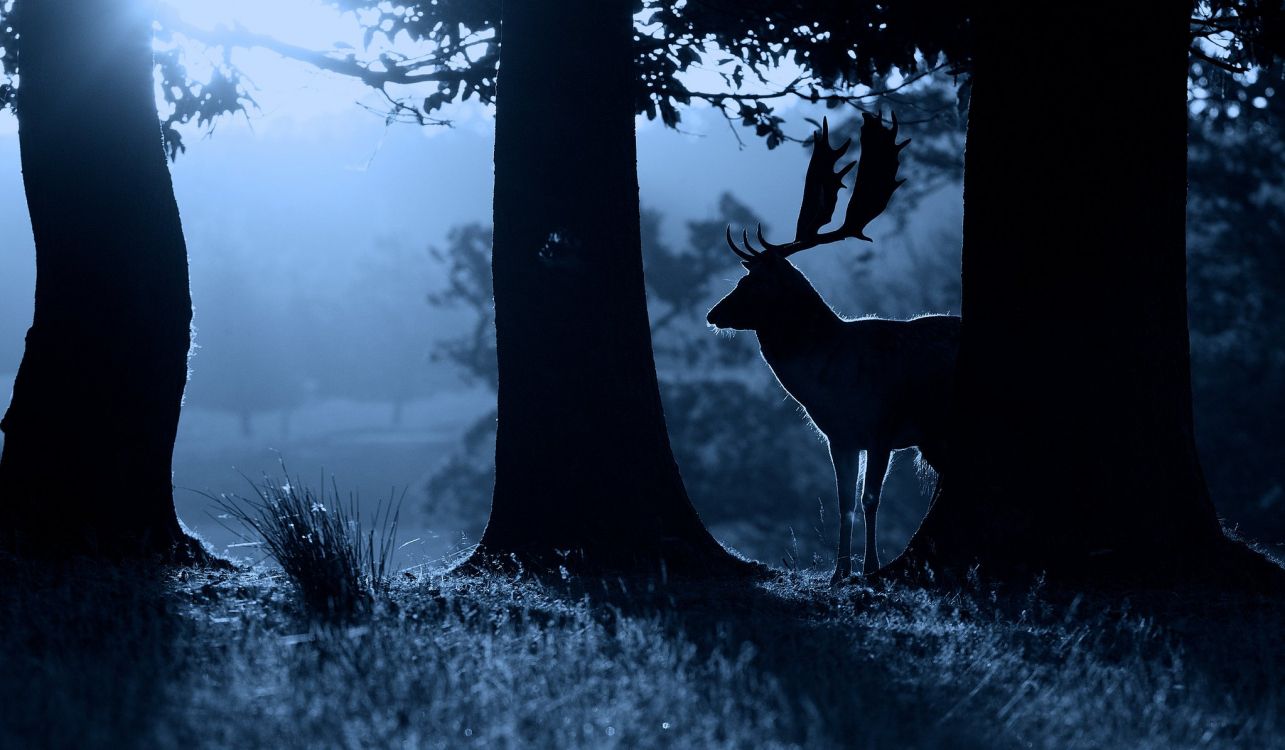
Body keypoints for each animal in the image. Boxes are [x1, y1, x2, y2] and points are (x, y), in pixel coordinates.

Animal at [709, 114, 961, 583]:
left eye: (753, 282)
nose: (713, 314)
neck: (832, 381)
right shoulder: (838, 436)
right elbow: (844, 502)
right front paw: (839, 572)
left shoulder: (882, 426)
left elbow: (870, 500)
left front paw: (871, 568)